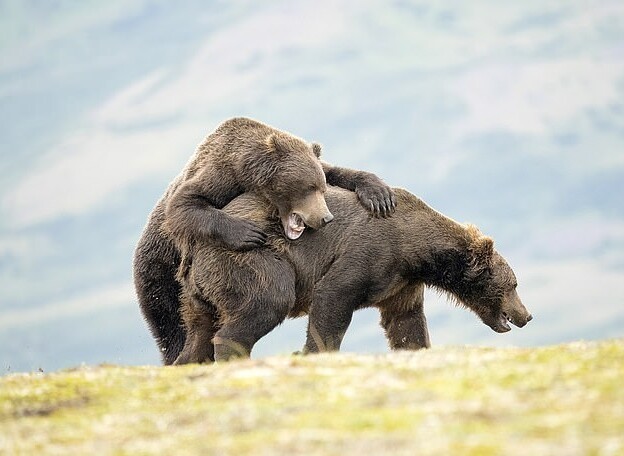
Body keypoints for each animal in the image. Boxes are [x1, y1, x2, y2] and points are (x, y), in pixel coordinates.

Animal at [134, 116, 398, 364]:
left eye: (321, 187)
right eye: (307, 187)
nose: (325, 217)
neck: (248, 169)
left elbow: (336, 170)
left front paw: (378, 193)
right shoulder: (219, 174)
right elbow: (185, 204)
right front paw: (247, 232)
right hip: (159, 277)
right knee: (170, 325)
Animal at [174, 185, 532, 364]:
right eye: (513, 284)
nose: (526, 315)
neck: (416, 249)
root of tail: (192, 250)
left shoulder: (401, 283)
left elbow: (406, 322)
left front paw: (415, 347)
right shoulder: (371, 251)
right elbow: (333, 296)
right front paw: (313, 350)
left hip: (201, 292)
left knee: (199, 332)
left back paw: (188, 360)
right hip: (247, 257)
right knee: (269, 298)